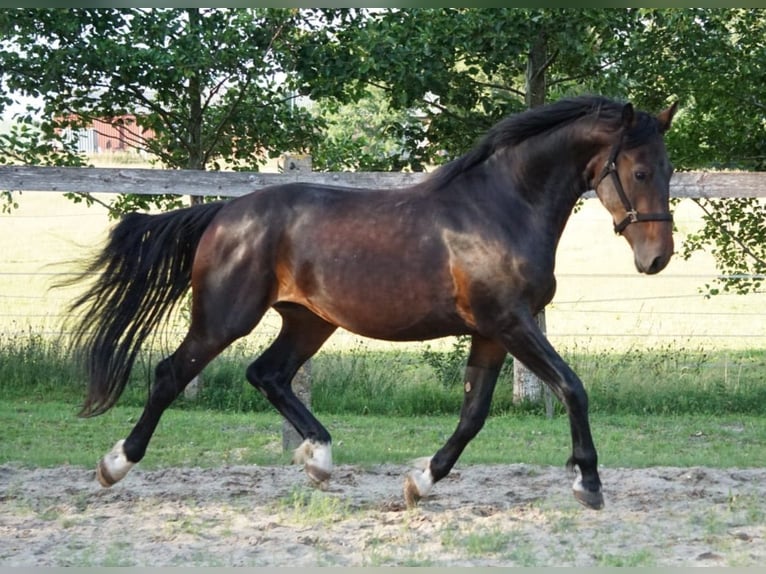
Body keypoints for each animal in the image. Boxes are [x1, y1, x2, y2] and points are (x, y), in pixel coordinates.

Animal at [63, 95, 677, 510]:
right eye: (640, 169)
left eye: (669, 170)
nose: (657, 259)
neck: (501, 208)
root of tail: (223, 213)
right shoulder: (510, 322)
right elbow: (572, 387)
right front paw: (588, 482)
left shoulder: (491, 330)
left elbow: (473, 413)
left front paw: (421, 481)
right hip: (224, 317)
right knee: (172, 374)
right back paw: (115, 465)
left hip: (309, 321)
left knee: (268, 373)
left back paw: (318, 458)